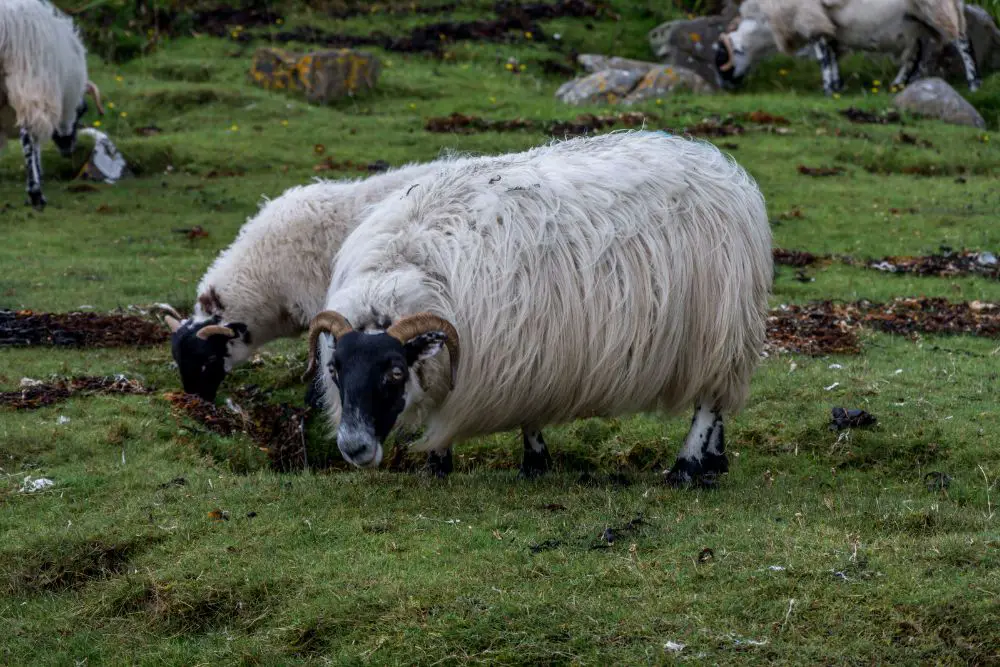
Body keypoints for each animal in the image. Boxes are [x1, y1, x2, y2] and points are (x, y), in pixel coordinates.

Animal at [0, 0, 103, 209]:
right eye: (82, 110)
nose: (68, 148)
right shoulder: (40, 90)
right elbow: (34, 142)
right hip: (29, 77)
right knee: (28, 136)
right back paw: (35, 194)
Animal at [300, 130, 768, 486]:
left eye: (394, 373)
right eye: (334, 369)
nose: (354, 448)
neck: (410, 269)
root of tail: (721, 166)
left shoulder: (522, 352)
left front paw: (533, 464)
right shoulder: (526, 352)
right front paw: (438, 465)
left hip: (719, 327)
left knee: (708, 401)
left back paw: (686, 468)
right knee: (718, 399)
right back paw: (715, 461)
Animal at [716, 0, 980, 95]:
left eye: (721, 59)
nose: (725, 88)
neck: (766, 26)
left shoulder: (809, 17)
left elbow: (823, 55)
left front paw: (828, 89)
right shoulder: (827, 25)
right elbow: (832, 55)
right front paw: (837, 85)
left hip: (936, 9)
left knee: (963, 41)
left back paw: (974, 84)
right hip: (915, 20)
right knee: (915, 54)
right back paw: (897, 85)